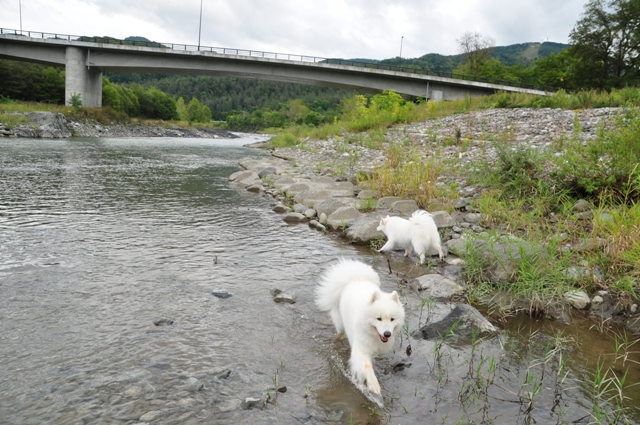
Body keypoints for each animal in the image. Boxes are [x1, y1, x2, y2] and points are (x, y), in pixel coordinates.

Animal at [316, 258, 404, 394]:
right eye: (379, 318)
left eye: (392, 319)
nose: (387, 334)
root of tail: (354, 279)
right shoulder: (361, 349)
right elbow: (366, 366)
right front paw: (373, 385)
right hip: (341, 324)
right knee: (340, 333)